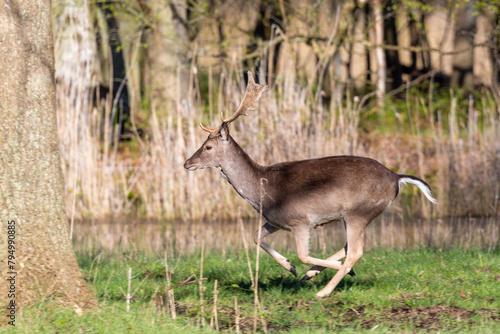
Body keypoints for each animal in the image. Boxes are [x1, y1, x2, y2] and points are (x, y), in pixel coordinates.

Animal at [182, 72, 436, 296]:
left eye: (208, 147)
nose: (186, 163)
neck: (261, 189)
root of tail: (397, 177)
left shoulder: (301, 220)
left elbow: (302, 254)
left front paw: (307, 269)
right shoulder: (275, 220)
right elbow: (255, 236)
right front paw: (291, 267)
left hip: (359, 211)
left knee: (355, 251)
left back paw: (324, 289)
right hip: (355, 215)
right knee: (349, 247)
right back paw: (314, 273)